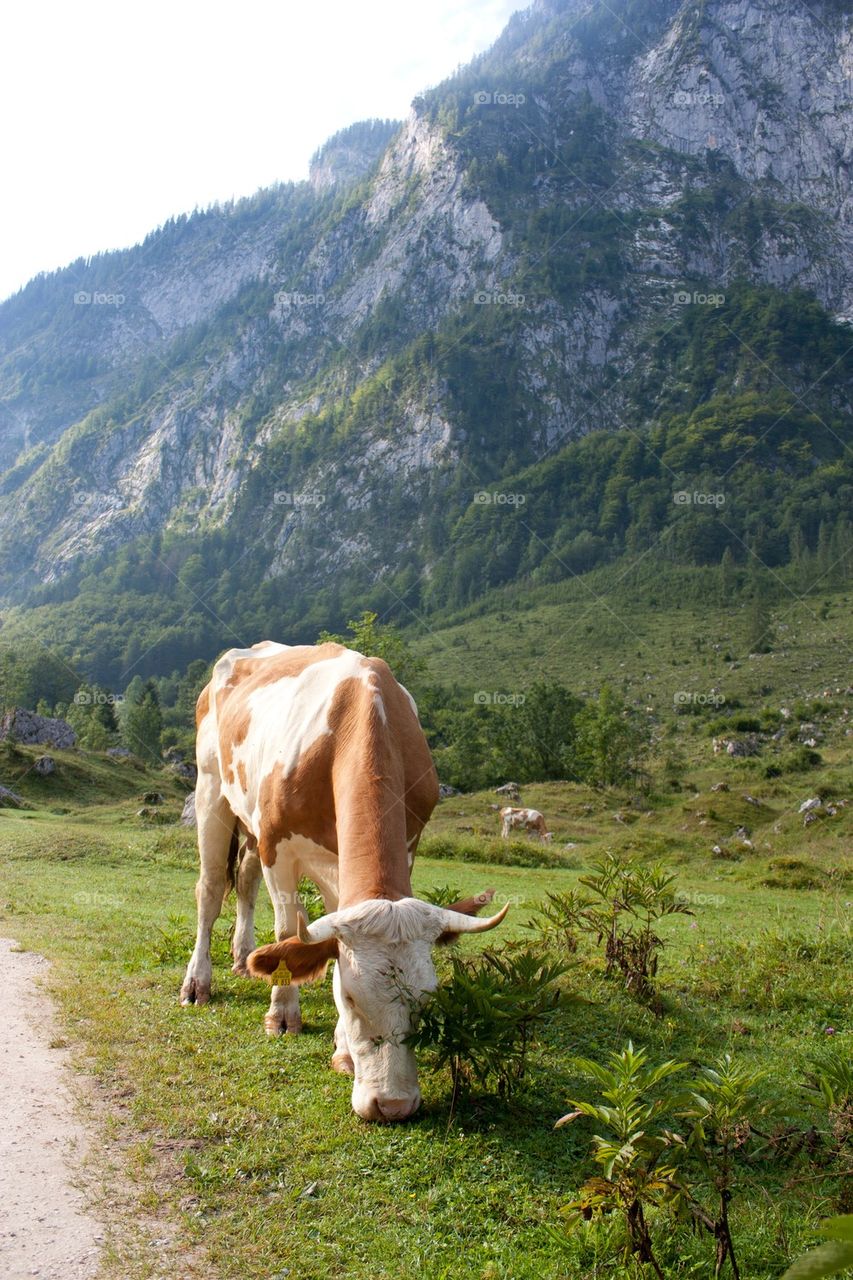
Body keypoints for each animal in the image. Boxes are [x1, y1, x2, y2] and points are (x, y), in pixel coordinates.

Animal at [180, 641, 507, 1122]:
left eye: (428, 999)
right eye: (350, 998)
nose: (392, 1105)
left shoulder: (399, 846)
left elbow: (329, 939)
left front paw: (343, 1050)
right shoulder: (280, 847)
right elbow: (288, 931)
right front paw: (283, 1014)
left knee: (245, 878)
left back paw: (242, 956)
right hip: (211, 789)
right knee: (210, 890)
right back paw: (197, 983)